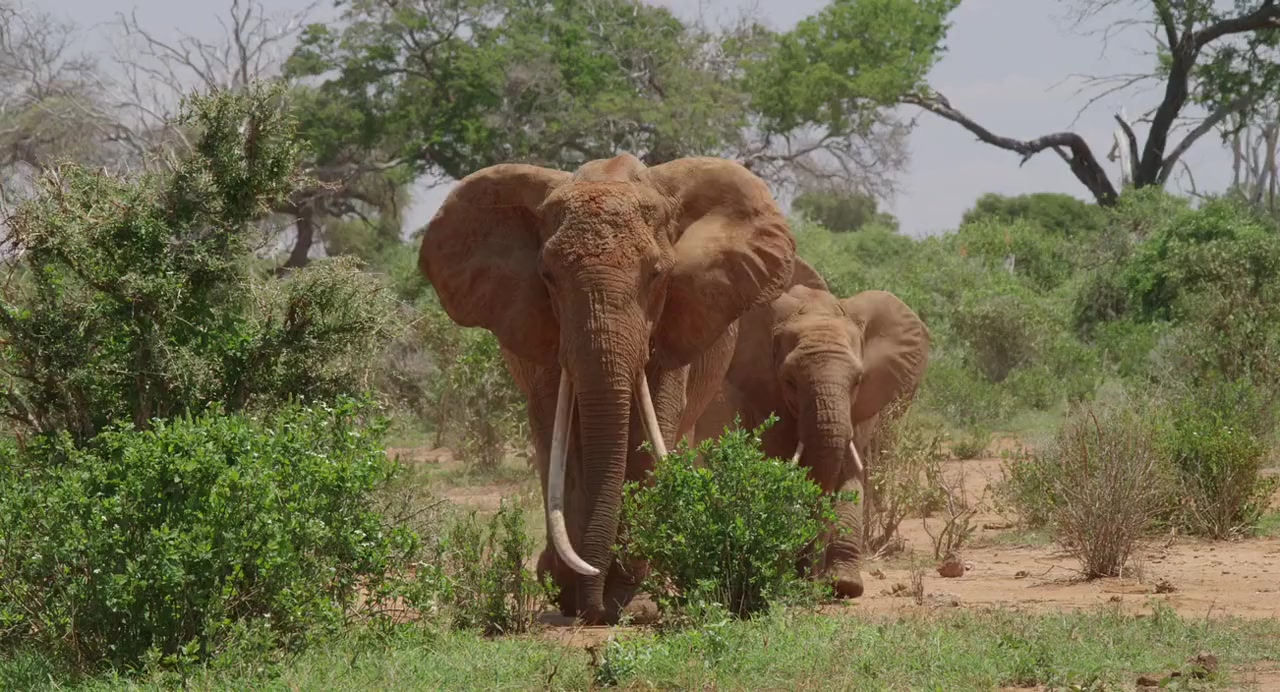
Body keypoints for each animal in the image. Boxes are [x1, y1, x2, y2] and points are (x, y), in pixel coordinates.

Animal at [418, 153, 796, 624]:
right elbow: (561, 435)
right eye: (547, 276)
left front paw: (628, 597)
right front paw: (570, 588)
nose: (595, 609)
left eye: (657, 275)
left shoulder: (673, 324)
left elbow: (649, 433)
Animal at [693, 260, 929, 598]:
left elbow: (849, 475)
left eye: (858, 380)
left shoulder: (859, 409)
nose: (809, 577)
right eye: (790, 381)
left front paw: (844, 585)